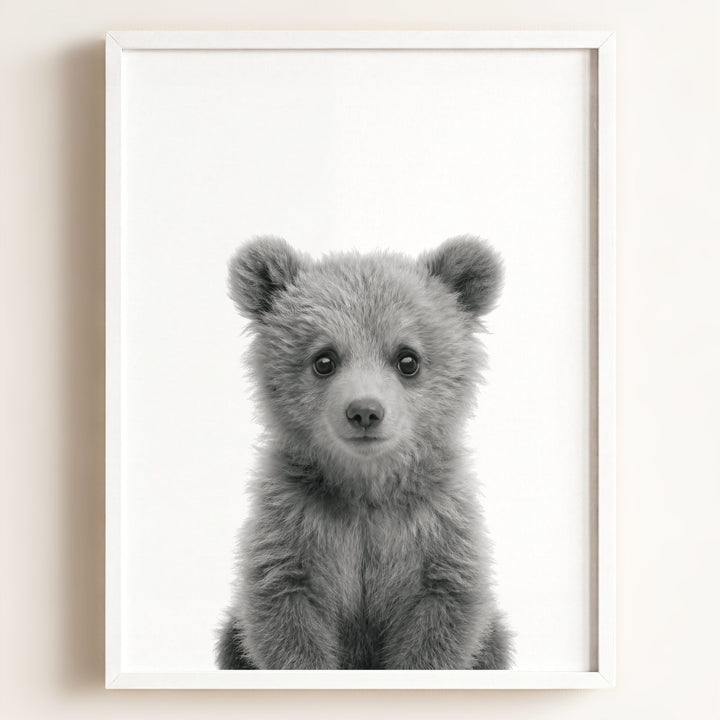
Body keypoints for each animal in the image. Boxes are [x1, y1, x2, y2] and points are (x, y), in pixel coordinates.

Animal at [217, 235, 512, 670]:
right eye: (324, 359)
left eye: (408, 359)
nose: (365, 411)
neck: (366, 488)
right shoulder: (294, 526)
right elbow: (285, 616)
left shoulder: (435, 530)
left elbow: (441, 620)